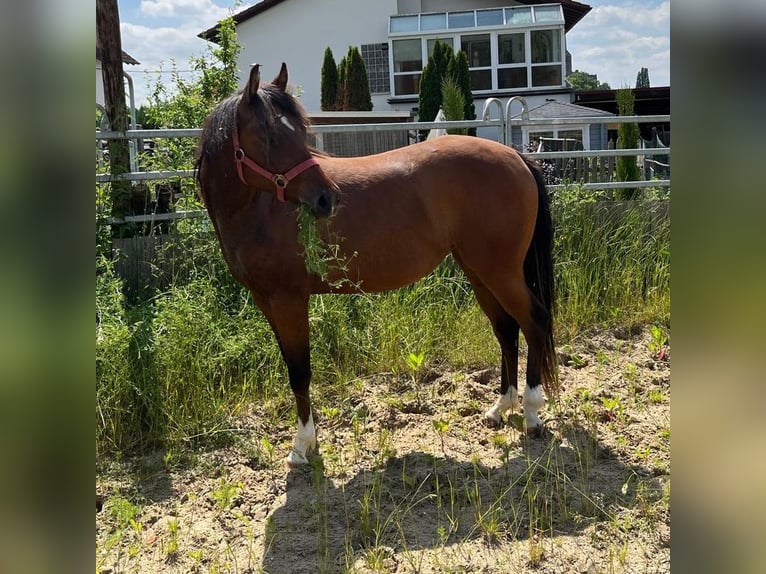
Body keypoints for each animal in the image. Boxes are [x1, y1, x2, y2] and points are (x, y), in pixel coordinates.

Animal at [195, 63, 557, 467]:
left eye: (298, 130)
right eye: (268, 133)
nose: (327, 198)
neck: (260, 209)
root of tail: (516, 156)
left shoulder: (289, 300)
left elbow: (300, 372)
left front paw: (302, 447)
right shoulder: (266, 301)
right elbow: (292, 367)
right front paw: (309, 441)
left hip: (500, 271)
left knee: (535, 321)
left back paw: (531, 414)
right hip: (479, 271)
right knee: (507, 329)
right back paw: (500, 408)